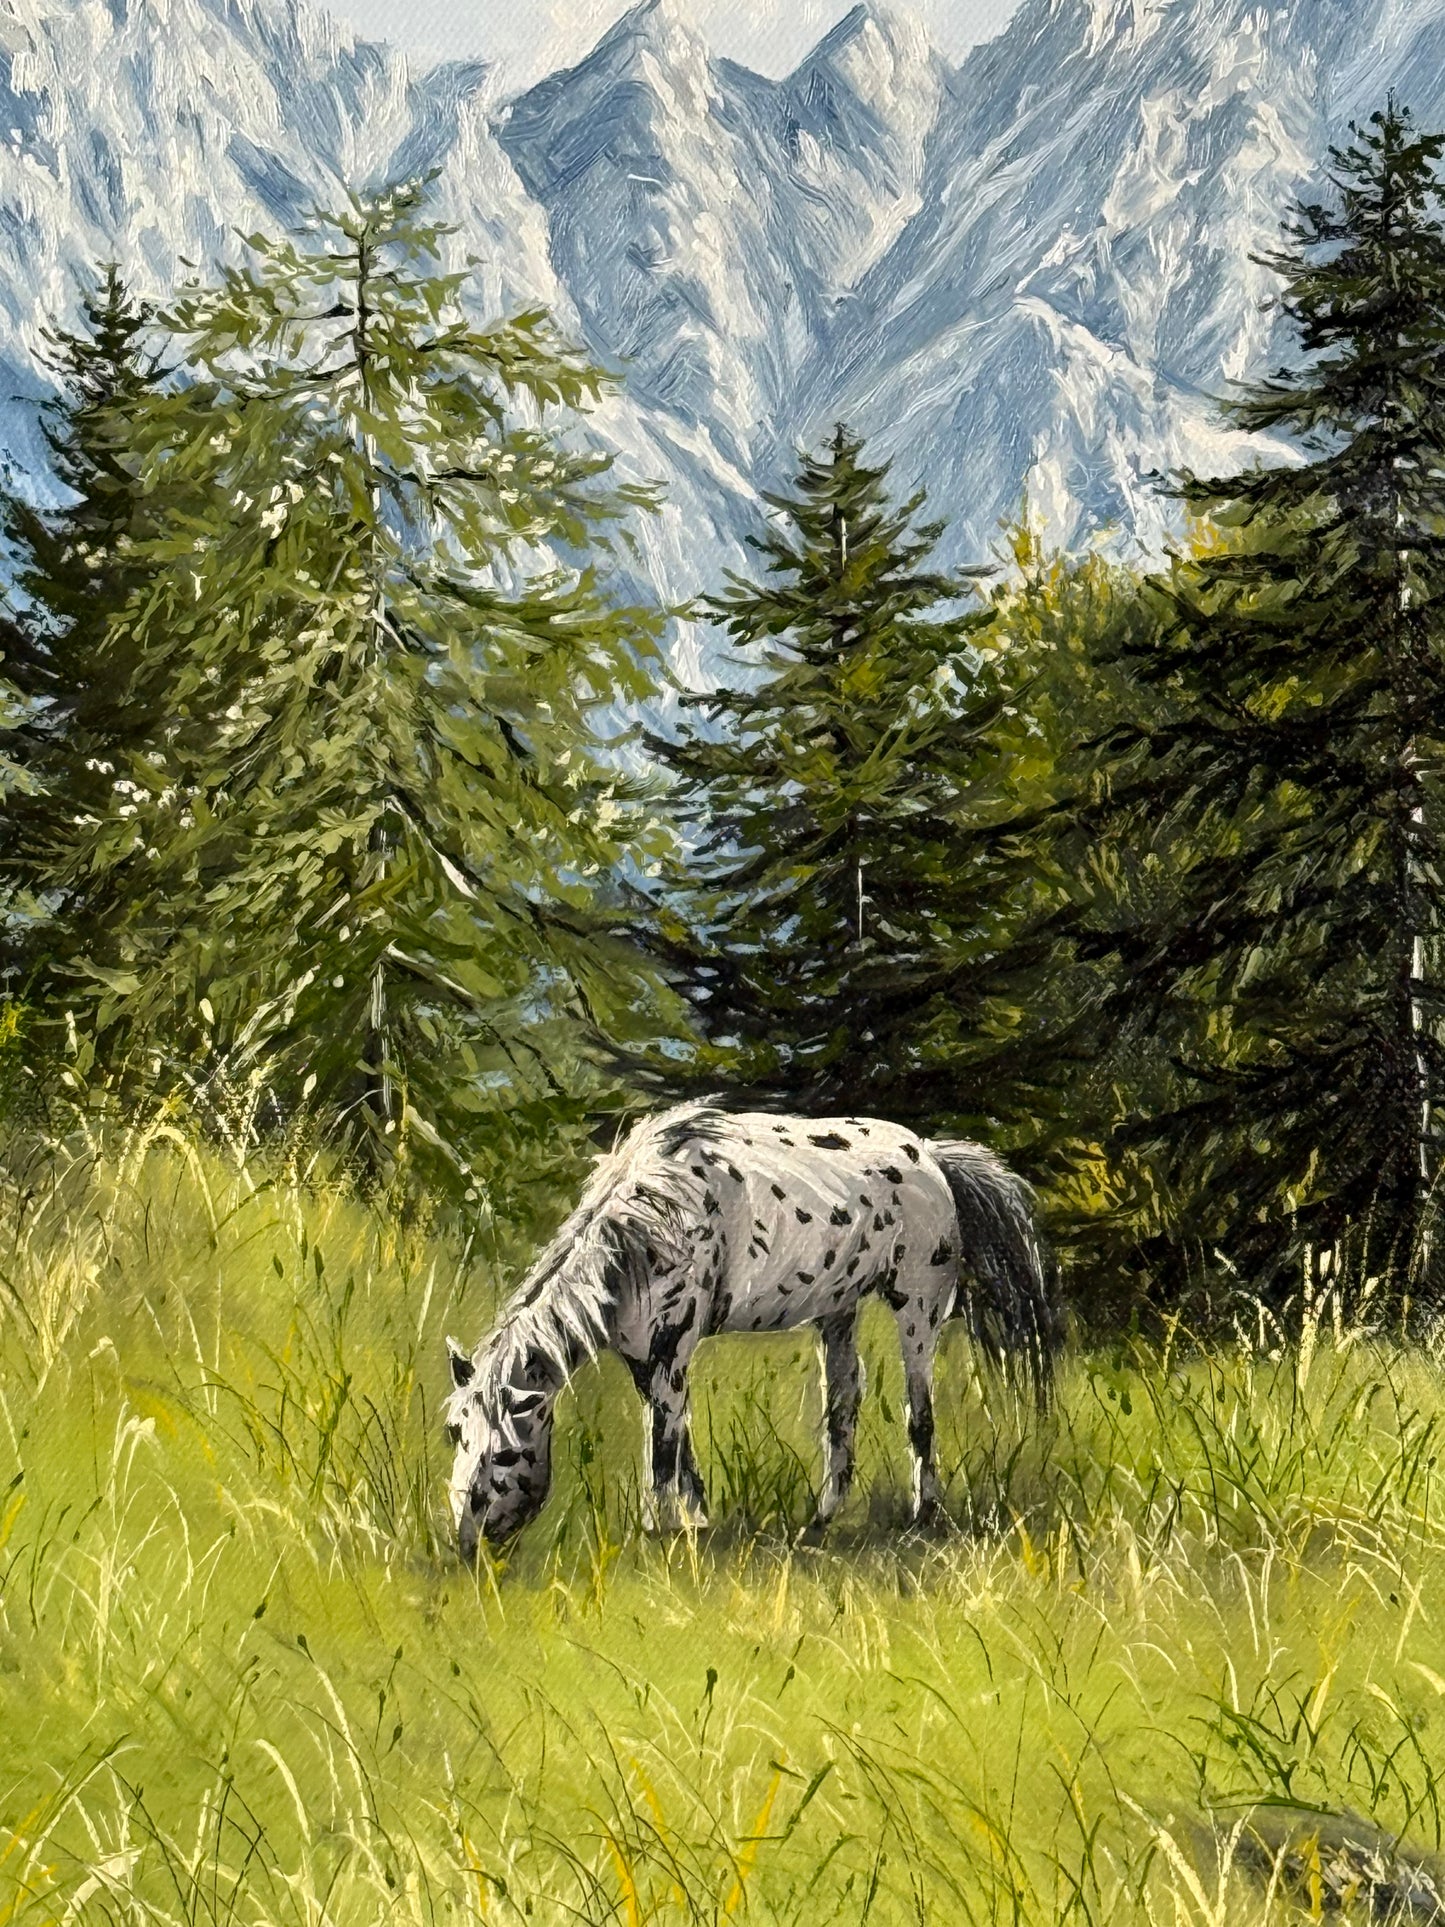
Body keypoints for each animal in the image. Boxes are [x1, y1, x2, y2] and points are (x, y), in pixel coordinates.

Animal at [443, 1098, 1058, 1560]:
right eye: (454, 1433)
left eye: (504, 1455)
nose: (466, 1543)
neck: (650, 1222)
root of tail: (931, 1155)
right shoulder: (644, 1359)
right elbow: (680, 1442)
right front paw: (696, 1523)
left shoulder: (674, 1350)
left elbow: (662, 1450)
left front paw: (656, 1535)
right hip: (837, 1311)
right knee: (844, 1402)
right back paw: (822, 1518)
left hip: (917, 1307)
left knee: (919, 1411)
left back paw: (923, 1515)